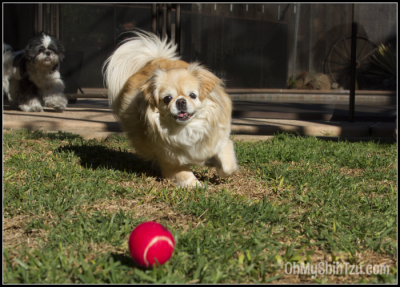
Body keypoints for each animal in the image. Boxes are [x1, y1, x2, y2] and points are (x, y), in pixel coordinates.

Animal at [103, 31, 239, 189]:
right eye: (167, 98)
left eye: (193, 95)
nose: (180, 101)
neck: (188, 128)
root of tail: (155, 58)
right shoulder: (169, 156)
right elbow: (185, 175)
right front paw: (198, 187)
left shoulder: (220, 141)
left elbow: (228, 166)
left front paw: (216, 166)